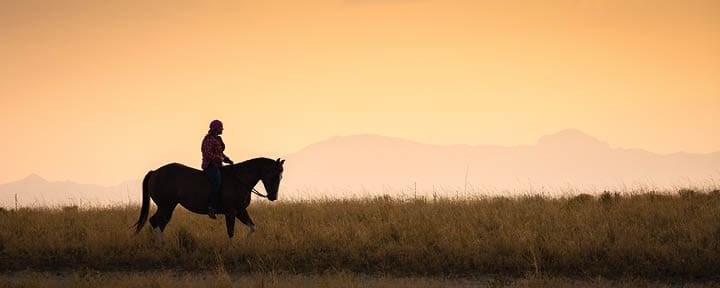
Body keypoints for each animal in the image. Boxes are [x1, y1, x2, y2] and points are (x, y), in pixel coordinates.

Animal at [133, 158, 284, 245]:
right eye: (275, 175)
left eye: (281, 176)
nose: (273, 197)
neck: (239, 180)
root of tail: (155, 172)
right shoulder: (231, 212)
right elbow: (231, 232)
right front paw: (231, 249)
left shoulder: (240, 210)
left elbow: (252, 227)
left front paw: (245, 245)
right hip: (166, 205)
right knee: (155, 221)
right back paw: (162, 244)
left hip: (168, 206)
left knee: (160, 222)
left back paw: (161, 245)